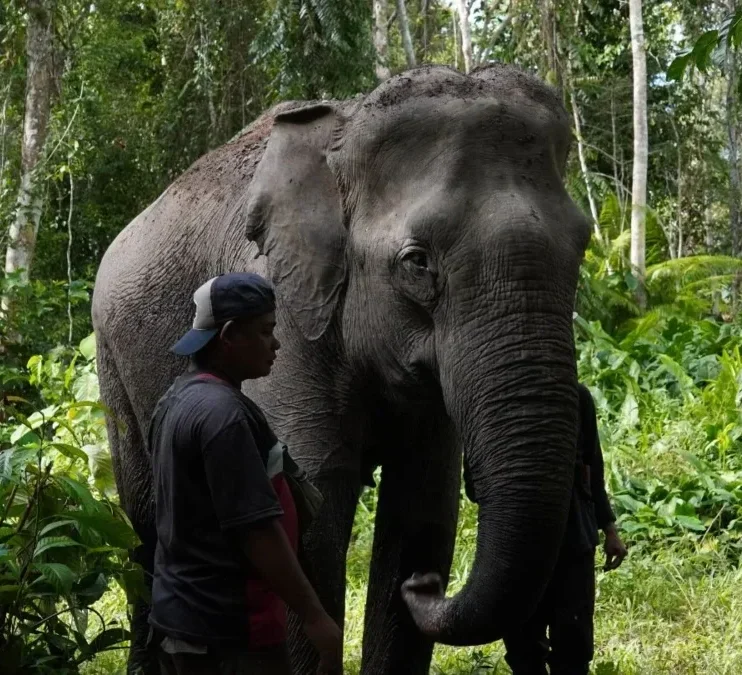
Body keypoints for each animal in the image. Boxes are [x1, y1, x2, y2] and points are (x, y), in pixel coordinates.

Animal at [92, 64, 591, 675]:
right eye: (417, 262)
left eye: (583, 246)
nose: (427, 588)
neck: (342, 134)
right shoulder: (284, 316)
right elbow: (309, 507)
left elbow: (423, 510)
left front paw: (410, 572)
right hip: (111, 357)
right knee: (143, 521)